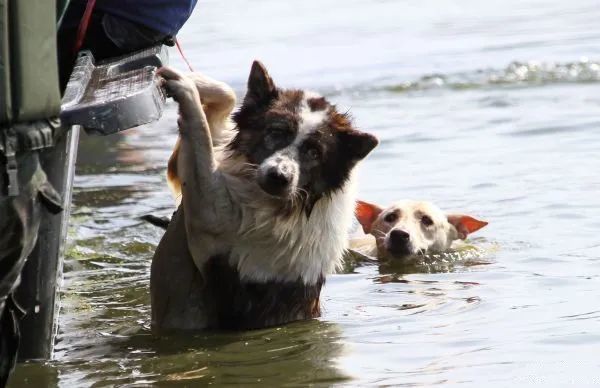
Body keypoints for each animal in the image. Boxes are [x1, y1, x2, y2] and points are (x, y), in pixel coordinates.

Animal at [150, 61, 378, 334]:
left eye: (314, 152)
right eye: (277, 132)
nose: (279, 177)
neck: (299, 203)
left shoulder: (209, 217)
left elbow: (201, 137)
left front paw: (187, 90)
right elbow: (227, 98)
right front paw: (196, 81)